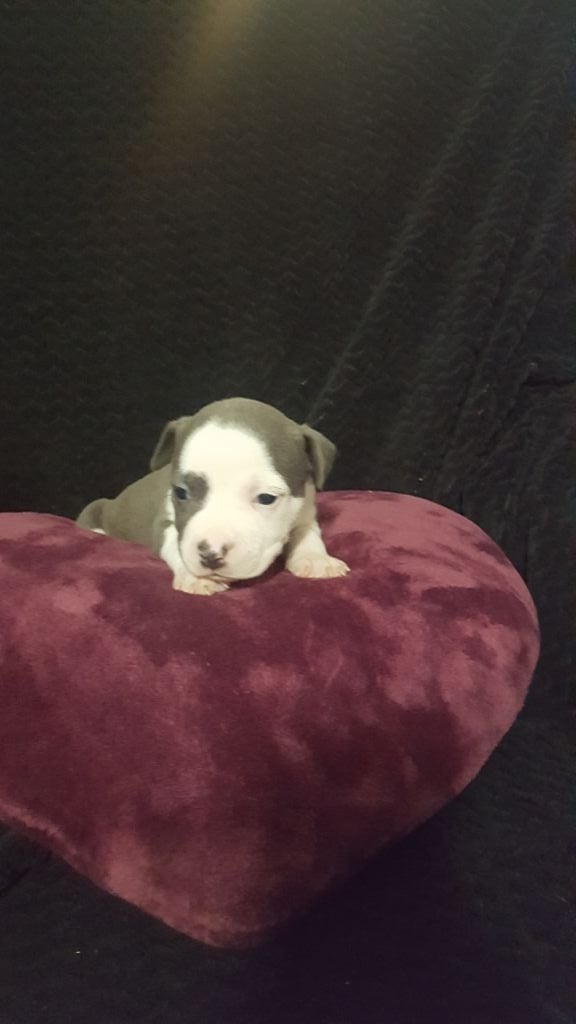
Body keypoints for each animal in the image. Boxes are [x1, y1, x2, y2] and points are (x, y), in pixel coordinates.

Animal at [76, 398, 350, 595]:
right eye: (180, 492)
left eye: (266, 498)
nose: (210, 554)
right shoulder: (165, 521)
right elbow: (173, 542)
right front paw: (192, 576)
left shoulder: (305, 511)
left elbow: (308, 533)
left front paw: (316, 558)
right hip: (96, 508)